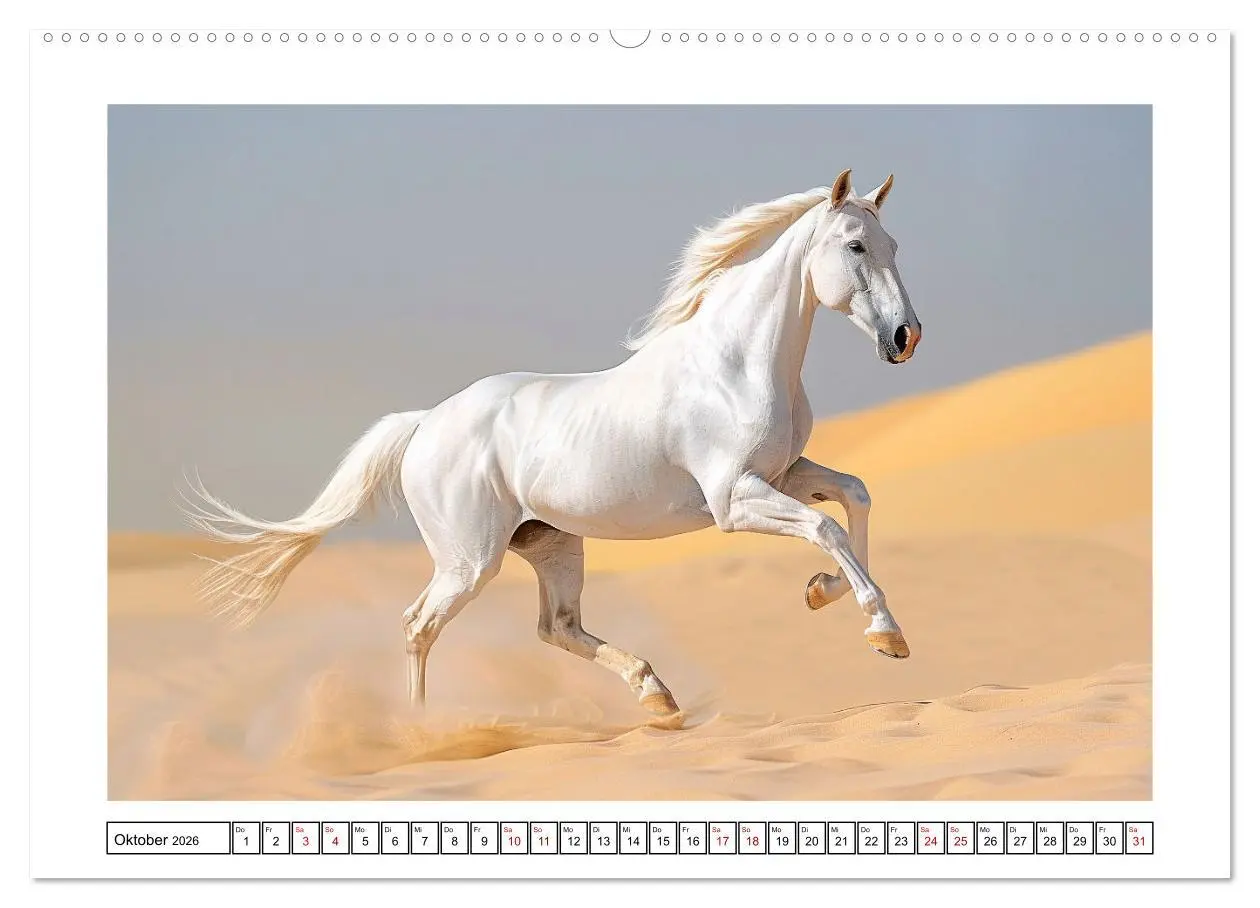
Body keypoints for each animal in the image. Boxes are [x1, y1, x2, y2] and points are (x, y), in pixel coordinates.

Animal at [184, 169, 923, 717]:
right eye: (855, 246)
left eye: (892, 246)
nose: (905, 337)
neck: (735, 362)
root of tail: (425, 423)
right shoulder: (733, 499)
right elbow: (827, 526)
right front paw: (885, 634)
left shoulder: (786, 472)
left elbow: (854, 497)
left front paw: (823, 592)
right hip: (469, 561)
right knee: (420, 625)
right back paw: (419, 733)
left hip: (551, 543)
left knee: (556, 627)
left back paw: (657, 696)